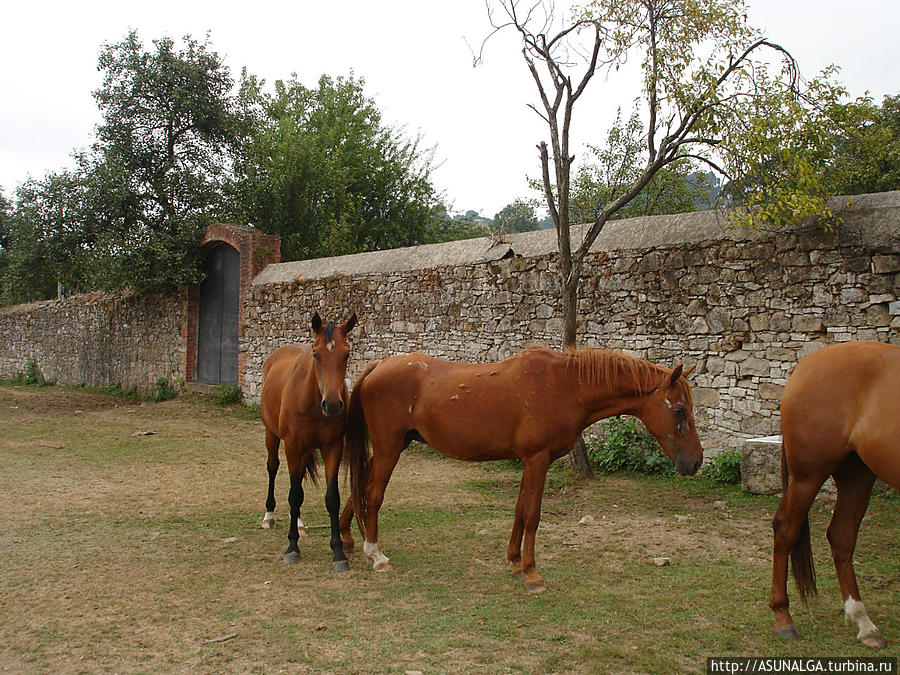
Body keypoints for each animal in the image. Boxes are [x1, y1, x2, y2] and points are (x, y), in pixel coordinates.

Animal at [342, 346, 704, 596]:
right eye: (679, 409)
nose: (696, 462)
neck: (564, 386)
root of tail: (377, 367)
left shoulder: (528, 462)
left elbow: (518, 510)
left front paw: (515, 562)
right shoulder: (537, 459)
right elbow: (532, 515)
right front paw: (532, 573)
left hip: (395, 447)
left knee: (358, 490)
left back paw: (348, 538)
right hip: (389, 449)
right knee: (372, 494)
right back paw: (376, 554)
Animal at [768, 344, 896, 648]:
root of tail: (805, 363)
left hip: (856, 472)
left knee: (841, 536)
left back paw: (864, 622)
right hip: (810, 473)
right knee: (786, 528)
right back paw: (784, 617)